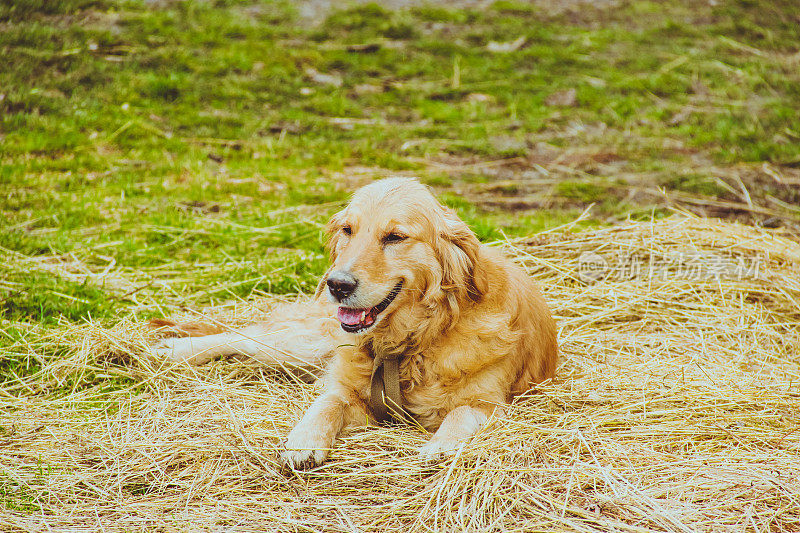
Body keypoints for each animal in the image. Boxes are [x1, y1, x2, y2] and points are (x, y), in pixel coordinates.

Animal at [155, 178, 556, 466]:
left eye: (395, 237)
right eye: (347, 230)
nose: (337, 284)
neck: (409, 342)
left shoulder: (489, 402)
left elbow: (459, 414)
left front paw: (441, 445)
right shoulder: (348, 389)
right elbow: (327, 402)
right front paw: (303, 439)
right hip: (307, 341)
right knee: (243, 337)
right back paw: (174, 349)